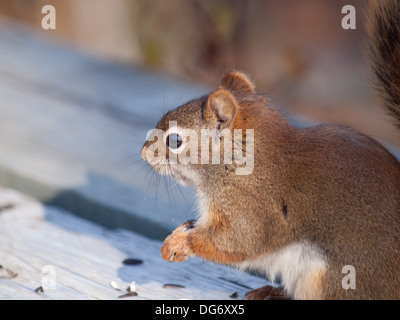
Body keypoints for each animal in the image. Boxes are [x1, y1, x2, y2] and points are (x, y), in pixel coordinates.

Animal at [141, 0, 400, 300]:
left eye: (174, 141)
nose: (143, 154)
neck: (243, 161)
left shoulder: (251, 206)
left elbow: (238, 240)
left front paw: (181, 243)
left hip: (330, 281)